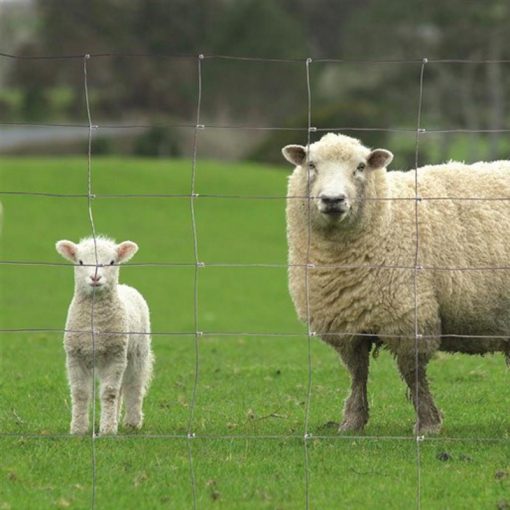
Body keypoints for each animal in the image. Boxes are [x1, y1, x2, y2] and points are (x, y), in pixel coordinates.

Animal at [282, 132, 510, 434]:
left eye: (361, 167)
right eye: (311, 164)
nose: (333, 200)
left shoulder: (410, 316)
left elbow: (413, 374)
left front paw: (427, 424)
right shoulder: (347, 323)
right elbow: (357, 373)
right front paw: (352, 422)